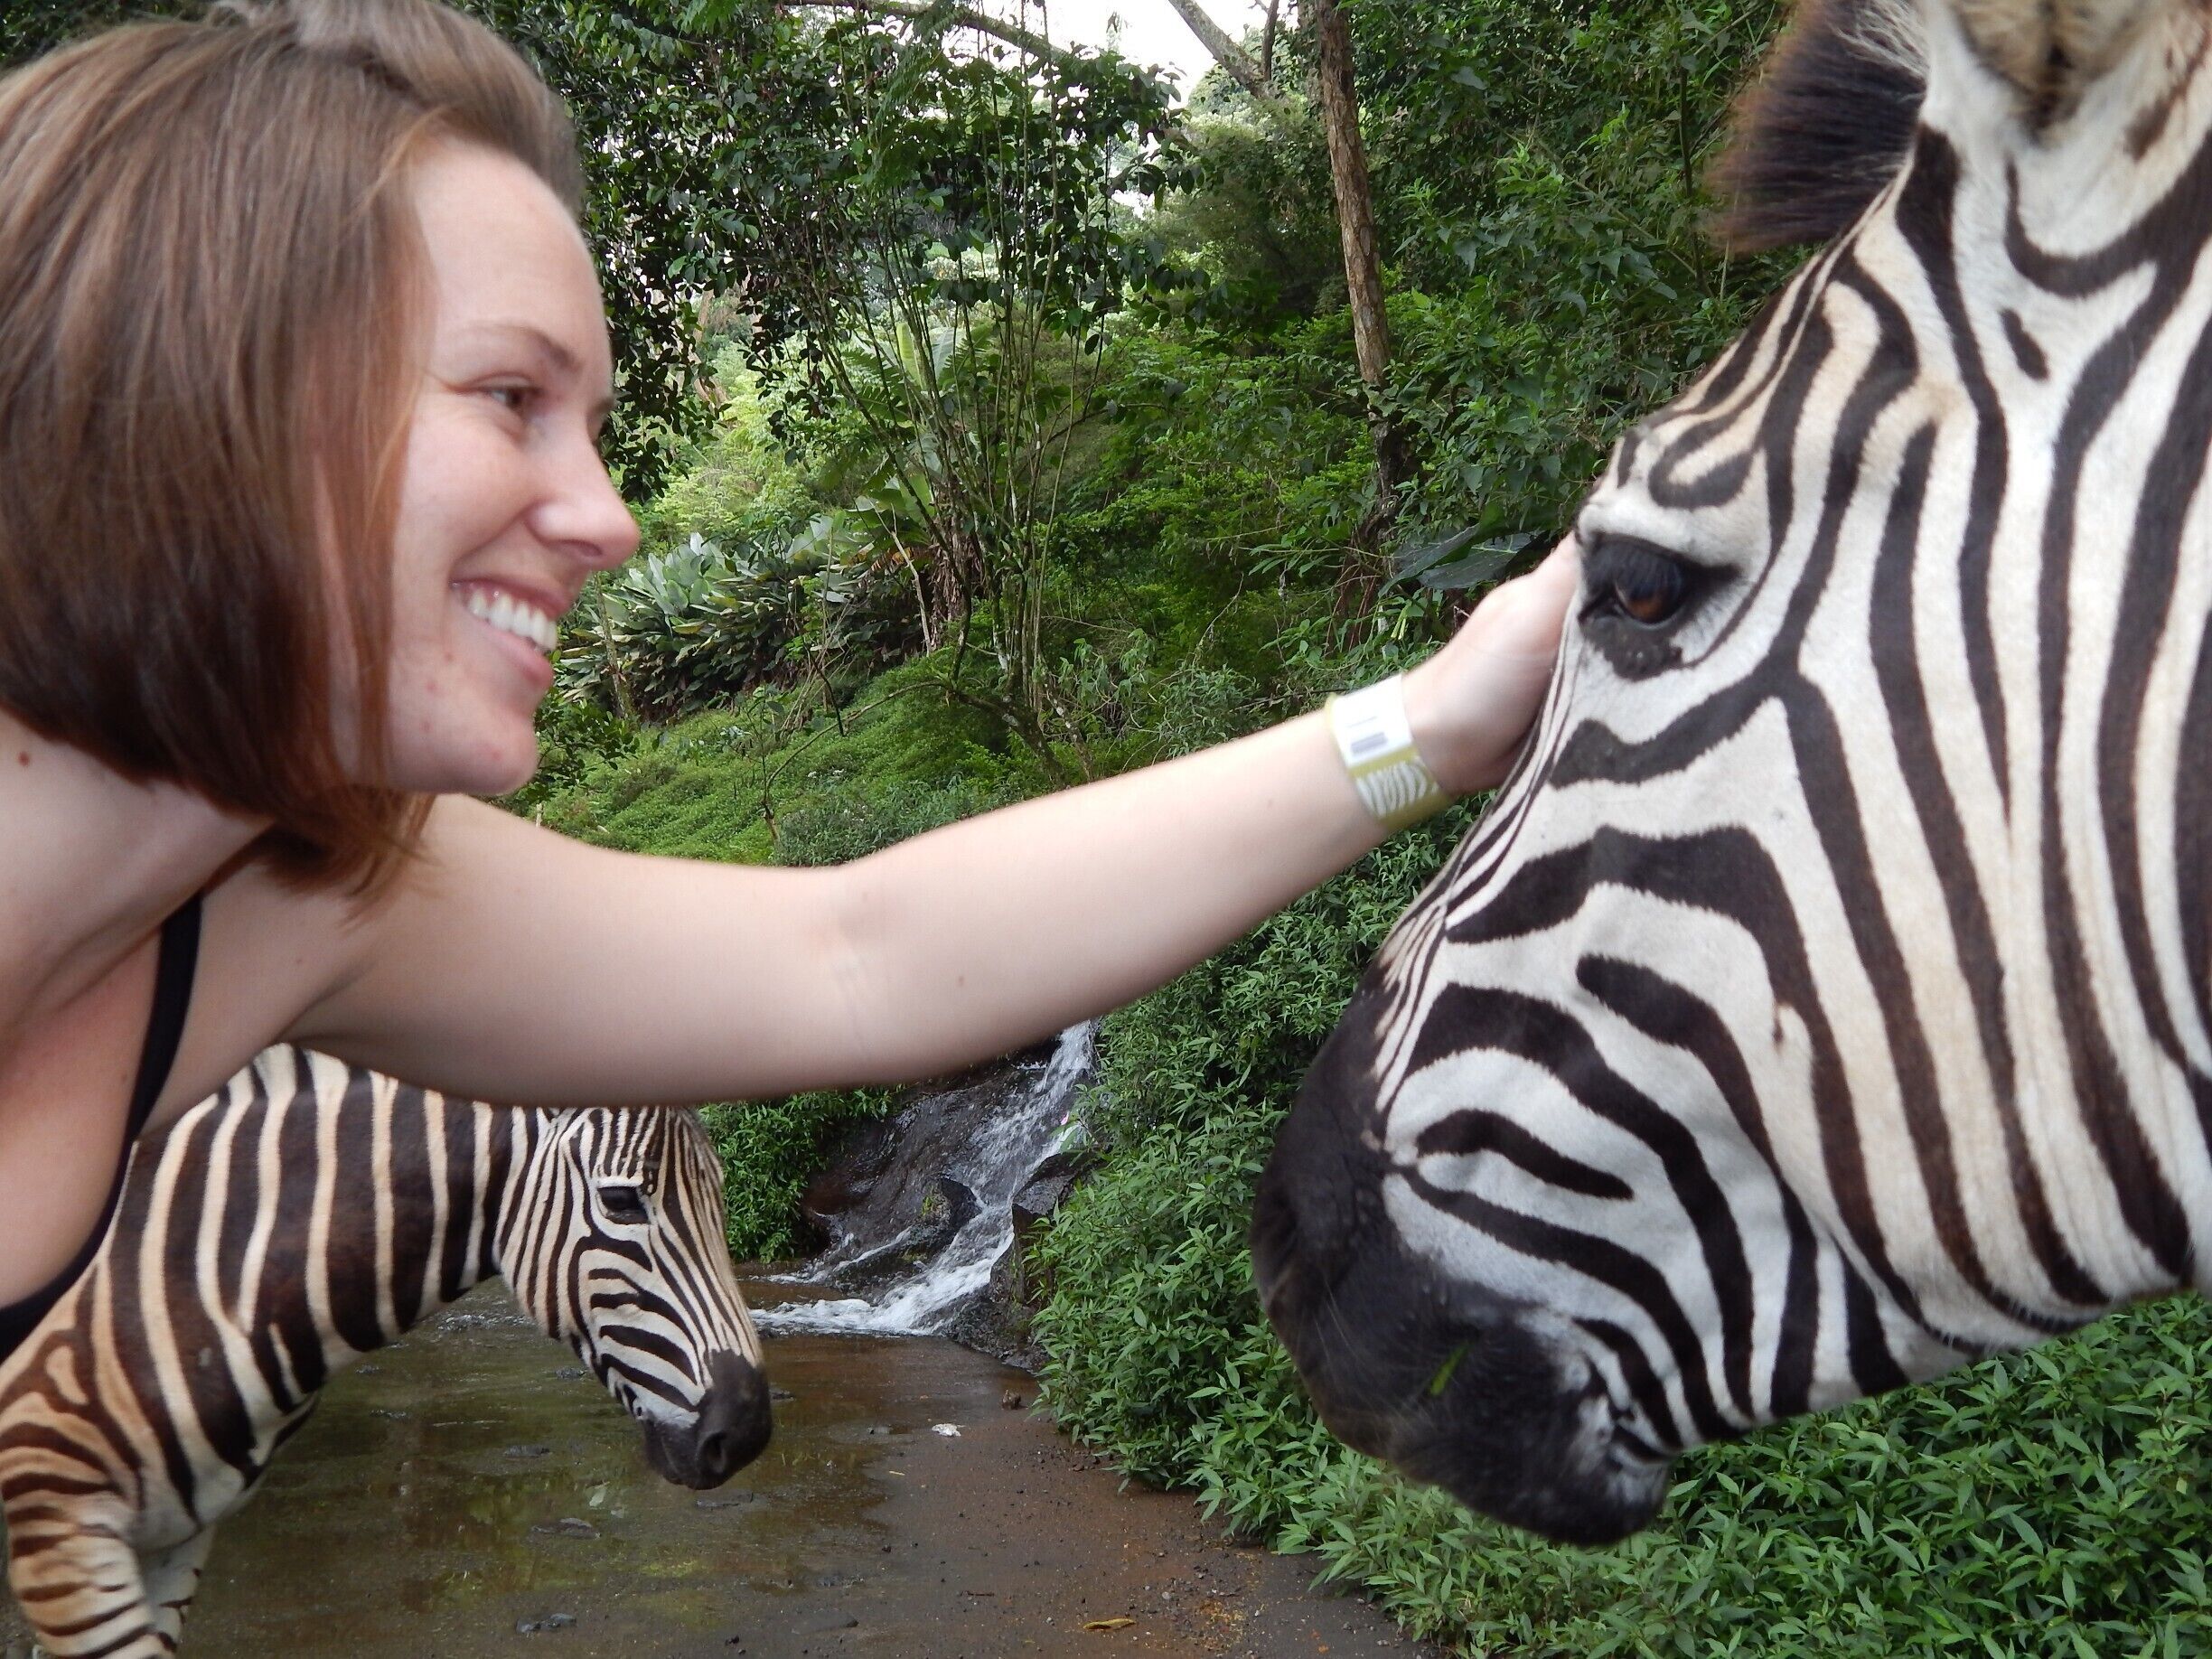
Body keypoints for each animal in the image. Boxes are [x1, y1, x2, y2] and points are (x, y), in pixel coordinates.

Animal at [0, 1045, 770, 1657]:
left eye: (721, 1193)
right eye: (621, 1201)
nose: (749, 1431)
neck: (190, 1267)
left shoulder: (173, 1537)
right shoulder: (60, 1529)